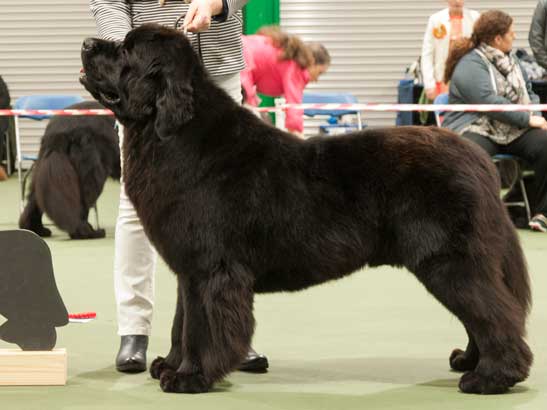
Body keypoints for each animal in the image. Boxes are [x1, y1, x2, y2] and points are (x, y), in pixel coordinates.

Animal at [19, 100, 120, 239]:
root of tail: (58, 132)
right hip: (90, 175)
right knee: (81, 205)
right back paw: (87, 232)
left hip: (42, 170)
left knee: (34, 202)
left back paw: (37, 230)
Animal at [81, 24, 536, 394]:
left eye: (126, 50)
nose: (86, 43)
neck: (170, 133)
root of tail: (479, 159)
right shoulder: (188, 270)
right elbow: (181, 323)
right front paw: (169, 366)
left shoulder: (210, 269)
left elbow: (199, 326)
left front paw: (190, 377)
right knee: (486, 311)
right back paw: (470, 361)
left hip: (448, 260)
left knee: (495, 313)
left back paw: (492, 377)